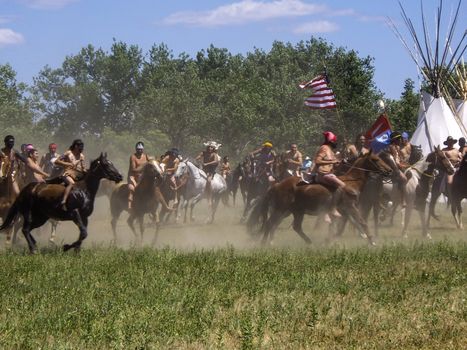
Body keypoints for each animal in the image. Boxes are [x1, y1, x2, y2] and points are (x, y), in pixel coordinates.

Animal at [247, 151, 394, 246]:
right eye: (375, 159)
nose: (389, 171)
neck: (351, 182)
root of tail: (277, 184)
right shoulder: (350, 206)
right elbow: (361, 222)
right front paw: (372, 241)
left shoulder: (343, 210)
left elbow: (341, 225)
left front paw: (330, 240)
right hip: (281, 209)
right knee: (270, 224)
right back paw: (264, 244)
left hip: (295, 211)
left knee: (294, 227)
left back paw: (309, 242)